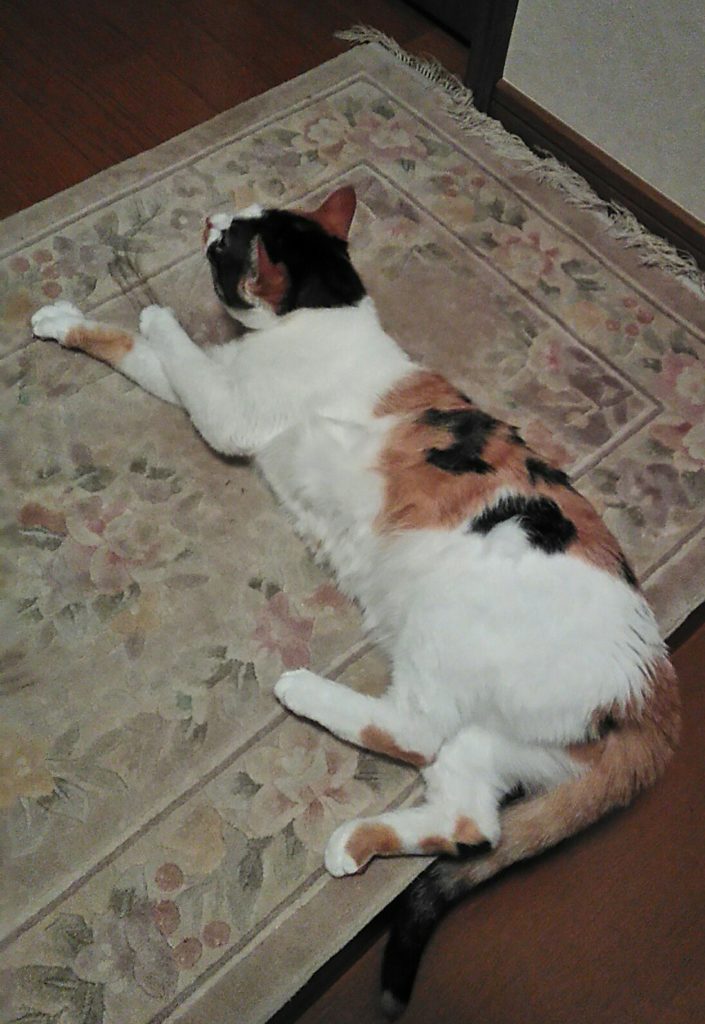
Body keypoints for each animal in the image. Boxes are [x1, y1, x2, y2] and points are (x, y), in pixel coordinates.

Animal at [32, 185, 680, 1016]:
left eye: (232, 241)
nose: (210, 218)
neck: (323, 312)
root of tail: (651, 687)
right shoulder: (214, 384)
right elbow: (129, 351)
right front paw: (62, 321)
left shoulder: (228, 410)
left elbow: (167, 347)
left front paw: (153, 312)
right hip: (500, 740)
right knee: (471, 820)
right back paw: (355, 841)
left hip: (451, 623)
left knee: (416, 732)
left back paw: (303, 689)